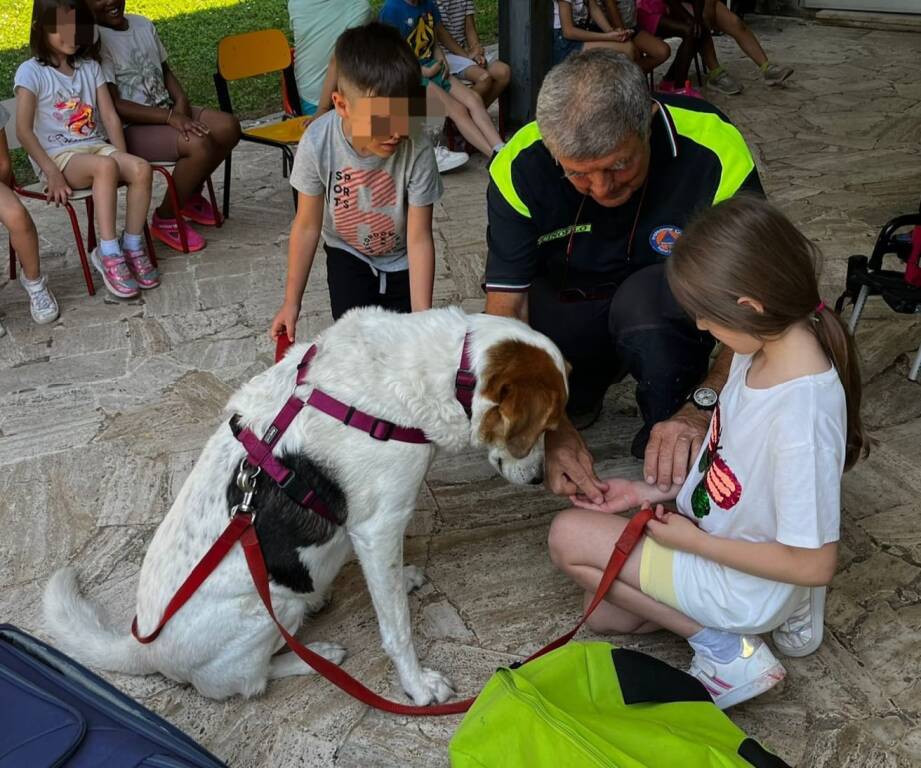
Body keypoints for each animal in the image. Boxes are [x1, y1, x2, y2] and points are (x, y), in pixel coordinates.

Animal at [43, 308, 568, 704]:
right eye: (545, 426)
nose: (540, 479)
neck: (438, 372)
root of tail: (143, 648)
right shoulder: (379, 529)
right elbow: (396, 628)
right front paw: (417, 686)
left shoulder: (370, 537)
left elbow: (389, 587)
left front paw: (404, 579)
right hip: (269, 609)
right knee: (251, 681)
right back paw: (317, 656)